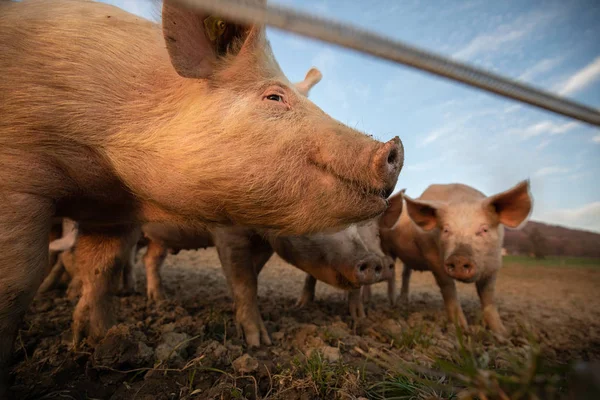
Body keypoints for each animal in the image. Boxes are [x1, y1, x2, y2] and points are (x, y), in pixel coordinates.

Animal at [0, 0, 406, 388]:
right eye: (274, 97)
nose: (395, 145)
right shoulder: (18, 171)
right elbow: (18, 282)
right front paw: (258, 344)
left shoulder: (114, 212)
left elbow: (102, 268)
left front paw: (98, 341)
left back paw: (156, 301)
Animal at [382, 181, 532, 334]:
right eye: (446, 230)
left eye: (484, 229)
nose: (459, 258)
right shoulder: (433, 258)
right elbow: (448, 288)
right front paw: (461, 328)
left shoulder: (494, 264)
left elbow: (488, 295)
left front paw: (501, 332)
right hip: (386, 247)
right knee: (392, 273)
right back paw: (393, 303)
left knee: (406, 273)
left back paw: (403, 301)